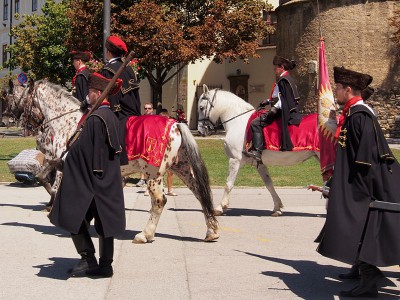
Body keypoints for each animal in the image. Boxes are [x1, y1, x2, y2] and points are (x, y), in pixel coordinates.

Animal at [5, 80, 219, 244]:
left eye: (9, 96)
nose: (9, 119)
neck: (68, 123)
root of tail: (175, 124)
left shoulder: (65, 166)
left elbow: (59, 188)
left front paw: (56, 211)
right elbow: (47, 178)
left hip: (153, 174)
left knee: (159, 201)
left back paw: (145, 234)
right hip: (181, 168)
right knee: (201, 193)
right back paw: (211, 231)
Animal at [198, 84, 322, 216]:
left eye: (201, 107)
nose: (201, 131)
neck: (238, 121)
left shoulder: (235, 160)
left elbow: (228, 184)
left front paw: (220, 207)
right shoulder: (260, 164)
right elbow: (269, 184)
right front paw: (277, 207)